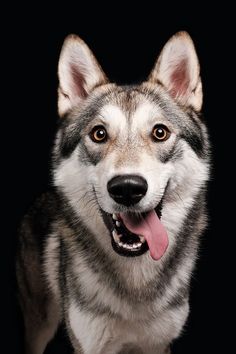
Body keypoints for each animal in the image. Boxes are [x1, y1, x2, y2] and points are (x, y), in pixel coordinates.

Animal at [16, 31, 210, 354]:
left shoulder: (159, 344)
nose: (127, 188)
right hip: (39, 327)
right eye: (99, 134)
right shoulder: (89, 344)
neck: (135, 284)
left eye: (160, 132)